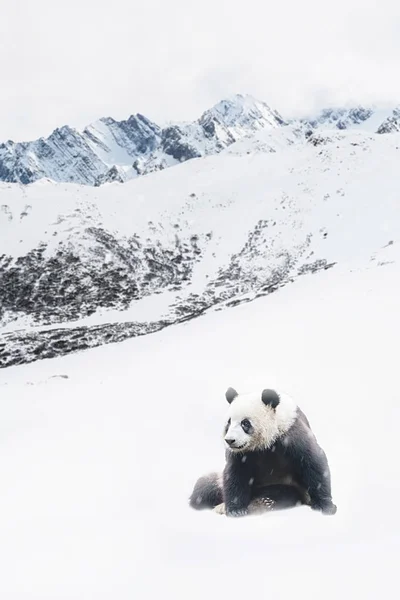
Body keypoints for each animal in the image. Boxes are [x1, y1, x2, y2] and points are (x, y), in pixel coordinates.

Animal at [189, 390, 336, 516]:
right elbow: (235, 473)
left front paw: (326, 506)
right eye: (228, 423)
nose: (230, 440)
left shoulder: (292, 433)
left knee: (281, 493)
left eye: (245, 423)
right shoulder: (240, 454)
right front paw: (236, 510)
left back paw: (262, 503)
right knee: (205, 487)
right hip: (218, 481)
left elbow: (313, 462)